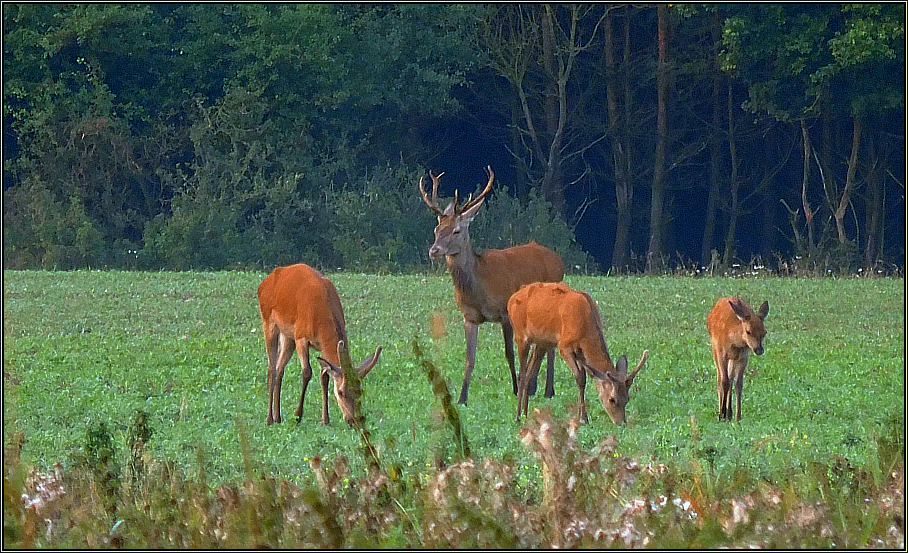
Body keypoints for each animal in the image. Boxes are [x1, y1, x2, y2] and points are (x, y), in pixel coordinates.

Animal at [258, 260, 382, 424]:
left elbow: (325, 376)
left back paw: (278, 417)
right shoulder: (301, 337)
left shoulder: (320, 345)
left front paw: (325, 420)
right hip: (268, 321)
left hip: (287, 336)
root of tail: (263, 283)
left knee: (279, 368)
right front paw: (298, 415)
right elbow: (307, 372)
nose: (354, 420)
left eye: (360, 391)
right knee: (271, 368)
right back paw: (269, 419)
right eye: (341, 392)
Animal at [420, 166, 564, 404]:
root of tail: (559, 260)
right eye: (436, 229)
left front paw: (516, 388)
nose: (434, 250)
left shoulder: (505, 312)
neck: (480, 287)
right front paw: (462, 398)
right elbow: (469, 357)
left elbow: (509, 353)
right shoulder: (469, 317)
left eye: (456, 230)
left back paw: (547, 390)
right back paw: (538, 388)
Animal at [508, 282, 648, 424]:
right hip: (521, 335)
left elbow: (584, 378)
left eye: (627, 398)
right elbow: (580, 377)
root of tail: (512, 298)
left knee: (529, 373)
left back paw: (525, 414)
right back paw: (518, 417)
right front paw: (583, 418)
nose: (621, 422)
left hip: (542, 342)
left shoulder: (581, 351)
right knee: (521, 375)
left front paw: (582, 416)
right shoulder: (564, 345)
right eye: (612, 399)